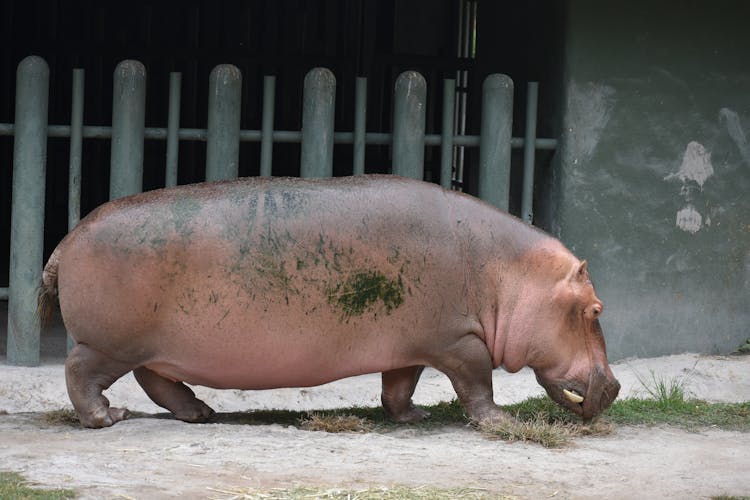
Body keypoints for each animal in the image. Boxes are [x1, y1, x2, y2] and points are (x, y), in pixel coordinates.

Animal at [38, 174, 620, 428]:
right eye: (596, 311)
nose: (614, 386)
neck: (512, 274)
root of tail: (65, 239)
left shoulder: (412, 341)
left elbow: (400, 384)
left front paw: (410, 417)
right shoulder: (460, 340)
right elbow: (478, 385)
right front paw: (501, 423)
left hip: (150, 345)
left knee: (158, 381)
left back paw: (201, 413)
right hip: (108, 343)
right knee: (79, 372)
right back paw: (107, 417)